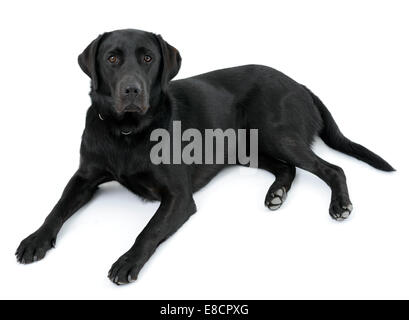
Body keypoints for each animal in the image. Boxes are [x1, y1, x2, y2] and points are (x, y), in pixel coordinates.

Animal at [15, 28, 392, 284]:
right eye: (111, 59)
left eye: (148, 58)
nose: (132, 90)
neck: (127, 132)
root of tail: (301, 85)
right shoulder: (84, 178)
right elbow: (57, 208)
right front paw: (35, 240)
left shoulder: (179, 198)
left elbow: (149, 230)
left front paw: (127, 261)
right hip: (247, 149)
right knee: (288, 170)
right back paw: (276, 194)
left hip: (276, 134)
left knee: (332, 168)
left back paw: (339, 205)